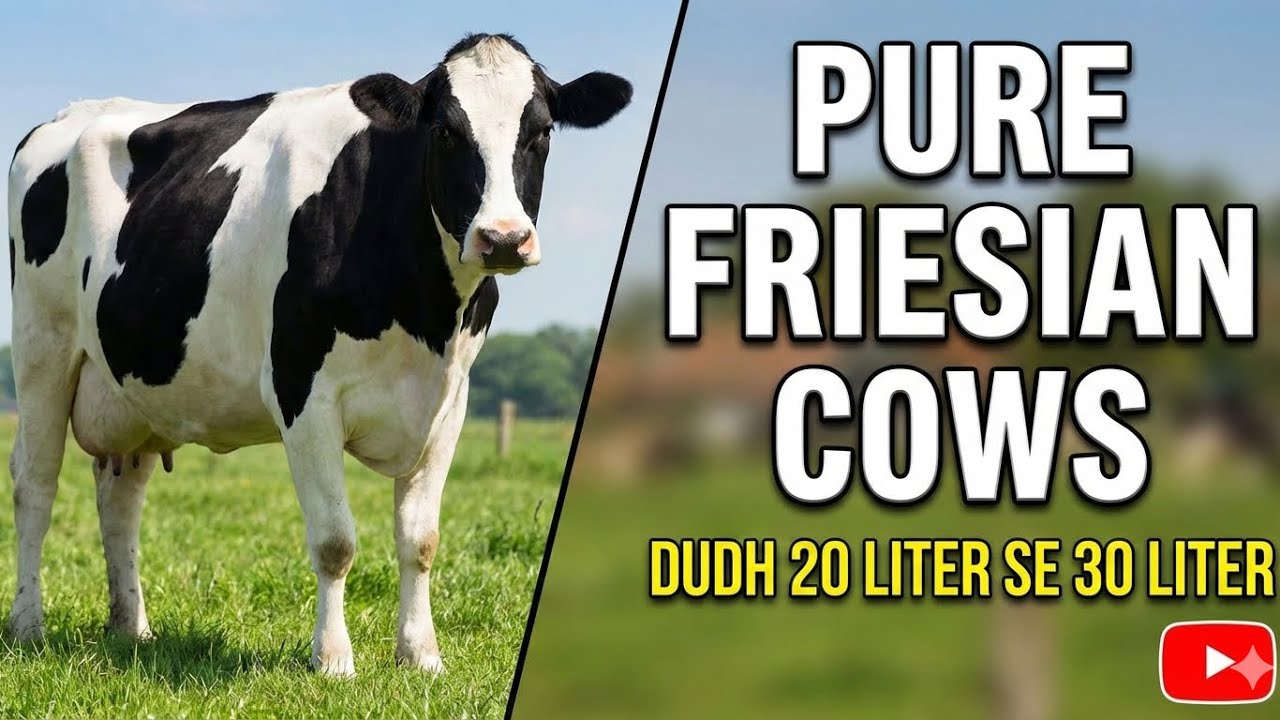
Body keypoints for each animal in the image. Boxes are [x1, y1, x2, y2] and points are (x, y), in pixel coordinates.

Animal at [6, 33, 631, 676]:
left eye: (542, 131)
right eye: (445, 131)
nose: (503, 238)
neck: (424, 312)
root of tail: (63, 118)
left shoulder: (449, 402)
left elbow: (421, 540)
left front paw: (421, 655)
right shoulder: (302, 391)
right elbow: (335, 541)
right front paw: (333, 659)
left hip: (133, 389)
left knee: (120, 498)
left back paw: (131, 628)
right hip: (42, 350)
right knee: (35, 484)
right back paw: (28, 625)